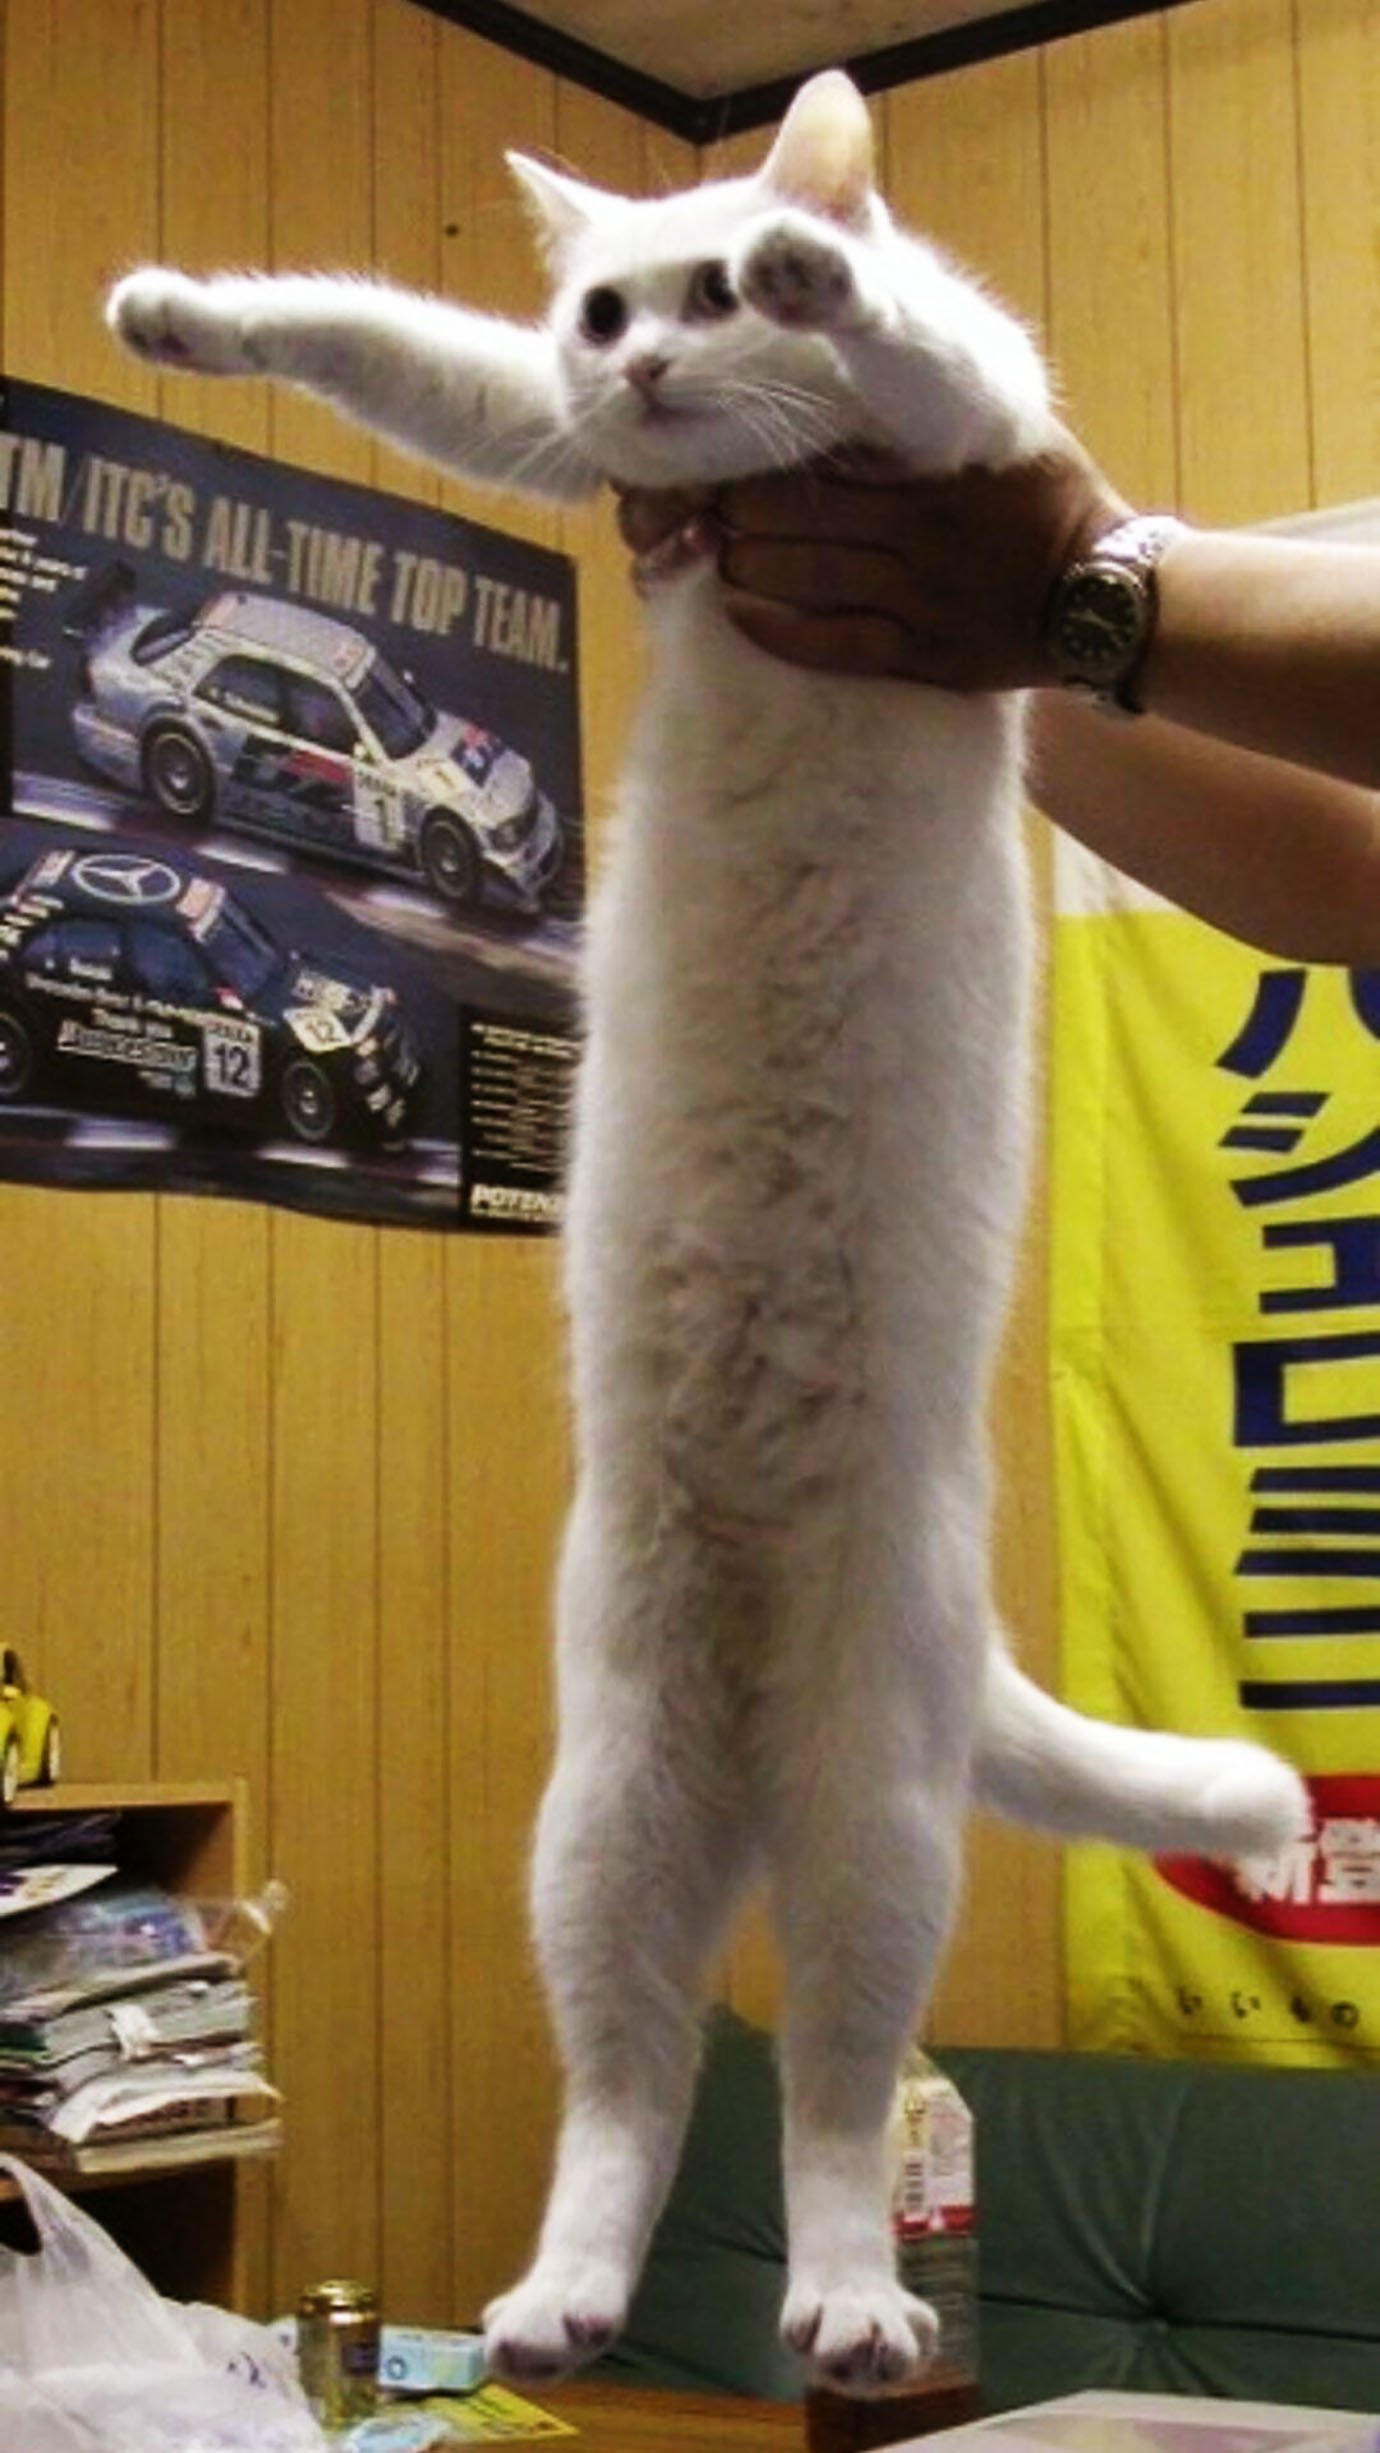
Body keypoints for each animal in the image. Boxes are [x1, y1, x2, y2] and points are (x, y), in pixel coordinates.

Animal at [108, 69, 1308, 2397]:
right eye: (599, 310)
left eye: (705, 296)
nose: (654, 360)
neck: (752, 498)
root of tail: (759, 1750)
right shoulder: (564, 444)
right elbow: (401, 352)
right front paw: (190, 313)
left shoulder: (974, 431)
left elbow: (914, 341)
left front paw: (819, 264)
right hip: (609, 1815)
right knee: (634, 2077)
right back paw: (563, 2298)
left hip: (875, 1824)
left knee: (832, 2089)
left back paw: (844, 2297)